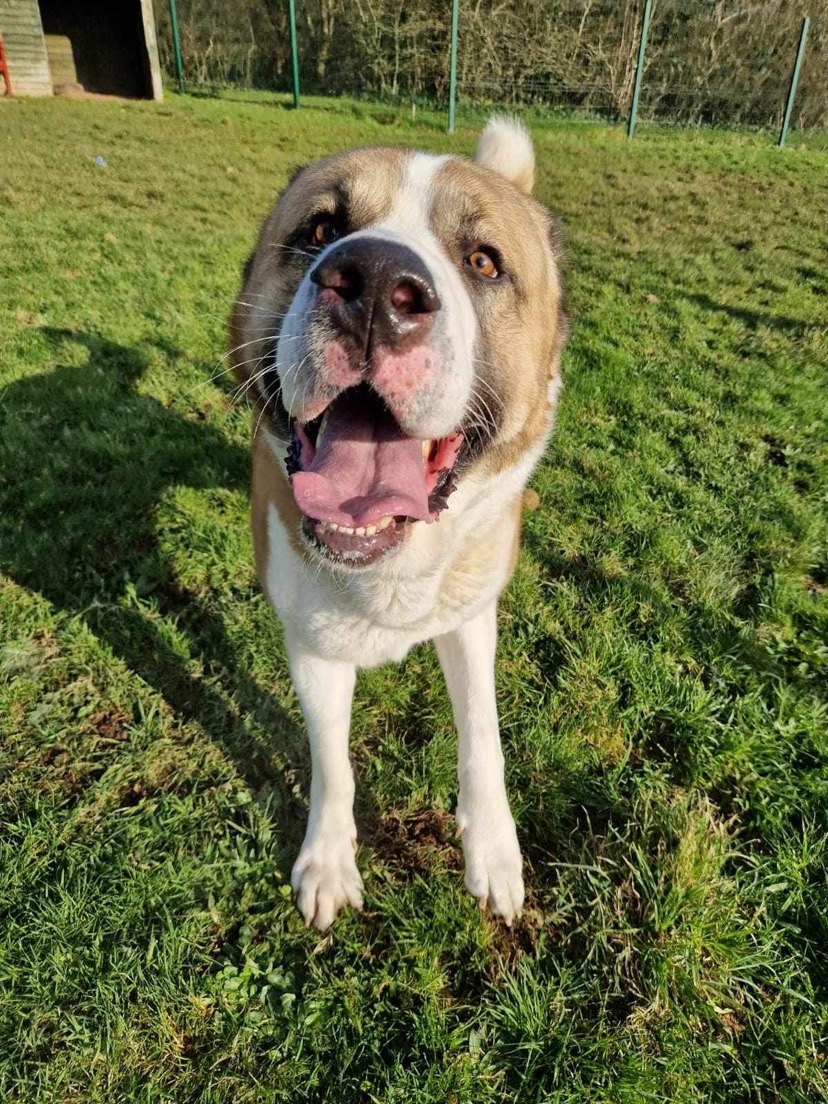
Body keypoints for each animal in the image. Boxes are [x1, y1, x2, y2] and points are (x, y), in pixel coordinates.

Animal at [234, 116, 569, 927]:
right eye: (322, 230)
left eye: (483, 261)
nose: (376, 283)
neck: (387, 570)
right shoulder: (311, 646)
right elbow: (332, 761)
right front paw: (328, 861)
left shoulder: (472, 619)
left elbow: (482, 732)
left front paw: (493, 850)